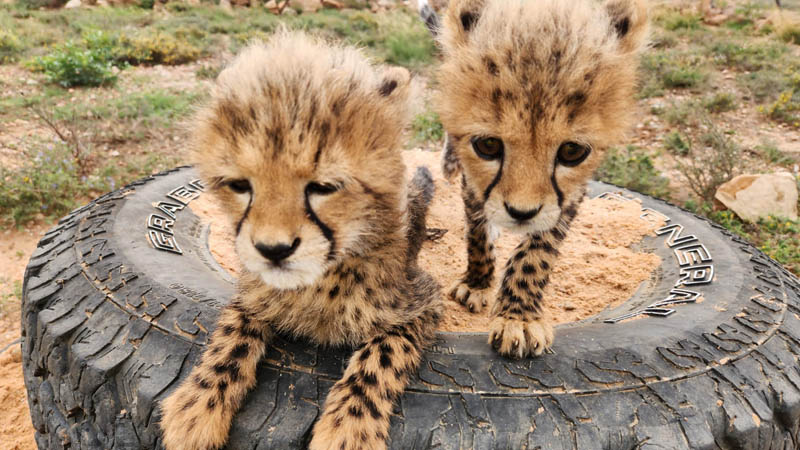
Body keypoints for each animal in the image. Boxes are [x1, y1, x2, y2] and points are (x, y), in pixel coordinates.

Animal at [158, 31, 442, 450]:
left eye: (324, 187)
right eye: (240, 185)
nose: (273, 250)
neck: (320, 282)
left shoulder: (423, 301)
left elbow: (383, 355)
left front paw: (349, 428)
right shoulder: (252, 291)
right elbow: (232, 334)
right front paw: (198, 404)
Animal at [428, 0, 649, 359]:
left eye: (572, 151)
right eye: (488, 145)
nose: (522, 213)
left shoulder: (568, 196)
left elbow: (538, 252)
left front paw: (518, 316)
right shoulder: (475, 184)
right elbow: (477, 231)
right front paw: (477, 282)